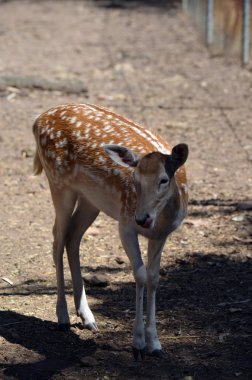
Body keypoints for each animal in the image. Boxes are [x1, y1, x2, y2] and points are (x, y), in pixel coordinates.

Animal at [32, 101, 188, 360]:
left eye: (164, 180)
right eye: (135, 179)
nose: (142, 218)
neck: (161, 218)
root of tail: (37, 120)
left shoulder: (162, 235)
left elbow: (154, 277)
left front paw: (155, 344)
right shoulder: (125, 225)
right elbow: (140, 274)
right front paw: (137, 344)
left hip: (91, 199)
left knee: (72, 237)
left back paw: (87, 317)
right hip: (59, 183)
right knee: (57, 239)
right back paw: (63, 317)